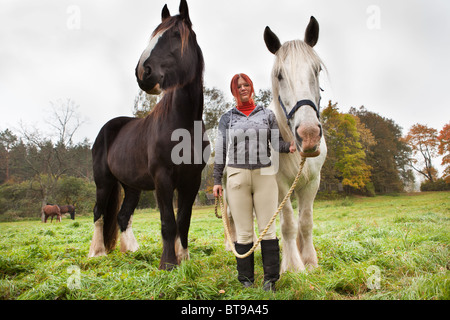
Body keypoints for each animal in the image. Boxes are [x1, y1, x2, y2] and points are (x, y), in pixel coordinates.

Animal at [89, 0, 210, 270]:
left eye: (175, 34)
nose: (143, 72)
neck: (183, 125)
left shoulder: (192, 180)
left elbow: (183, 221)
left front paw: (183, 258)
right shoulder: (162, 178)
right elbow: (168, 222)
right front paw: (168, 263)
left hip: (131, 186)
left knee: (123, 215)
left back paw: (131, 251)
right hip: (104, 182)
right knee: (98, 213)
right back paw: (97, 253)